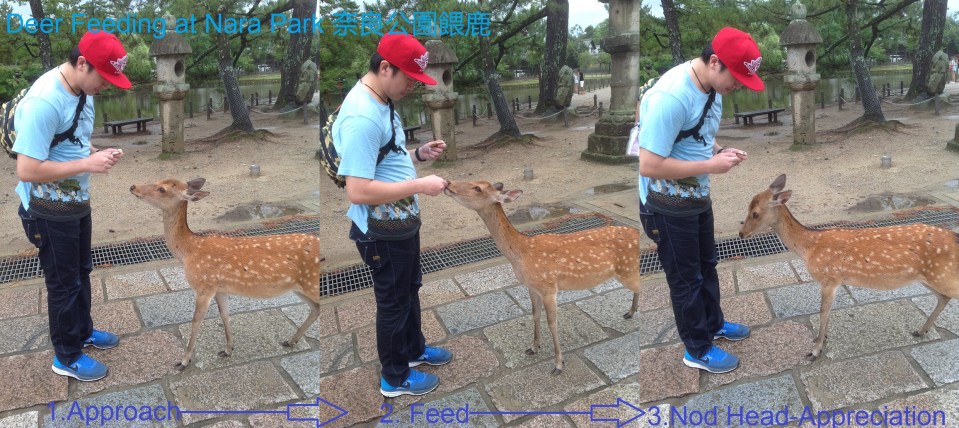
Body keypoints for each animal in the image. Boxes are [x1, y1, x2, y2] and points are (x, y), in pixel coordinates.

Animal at [130, 178, 320, 370]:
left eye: (162, 189)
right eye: (158, 181)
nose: (133, 187)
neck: (189, 251)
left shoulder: (204, 287)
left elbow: (196, 321)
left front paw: (184, 361)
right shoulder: (220, 288)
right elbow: (225, 315)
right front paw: (228, 349)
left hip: (311, 284)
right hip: (298, 287)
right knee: (315, 309)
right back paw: (291, 341)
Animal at [445, 180, 641, 375]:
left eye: (477, 188)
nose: (448, 184)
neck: (522, 254)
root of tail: (636, 233)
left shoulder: (548, 287)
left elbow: (552, 322)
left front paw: (558, 364)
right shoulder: (532, 287)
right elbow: (535, 314)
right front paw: (533, 347)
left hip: (627, 269)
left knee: (640, 286)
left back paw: (632, 314)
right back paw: (631, 312)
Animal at [739, 174, 959, 360]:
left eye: (755, 213)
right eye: (747, 208)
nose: (741, 234)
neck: (810, 247)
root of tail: (954, 236)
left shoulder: (829, 279)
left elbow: (823, 312)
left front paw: (815, 350)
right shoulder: (834, 282)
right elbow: (827, 312)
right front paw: (821, 339)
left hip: (943, 275)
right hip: (928, 277)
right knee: (943, 298)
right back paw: (921, 331)